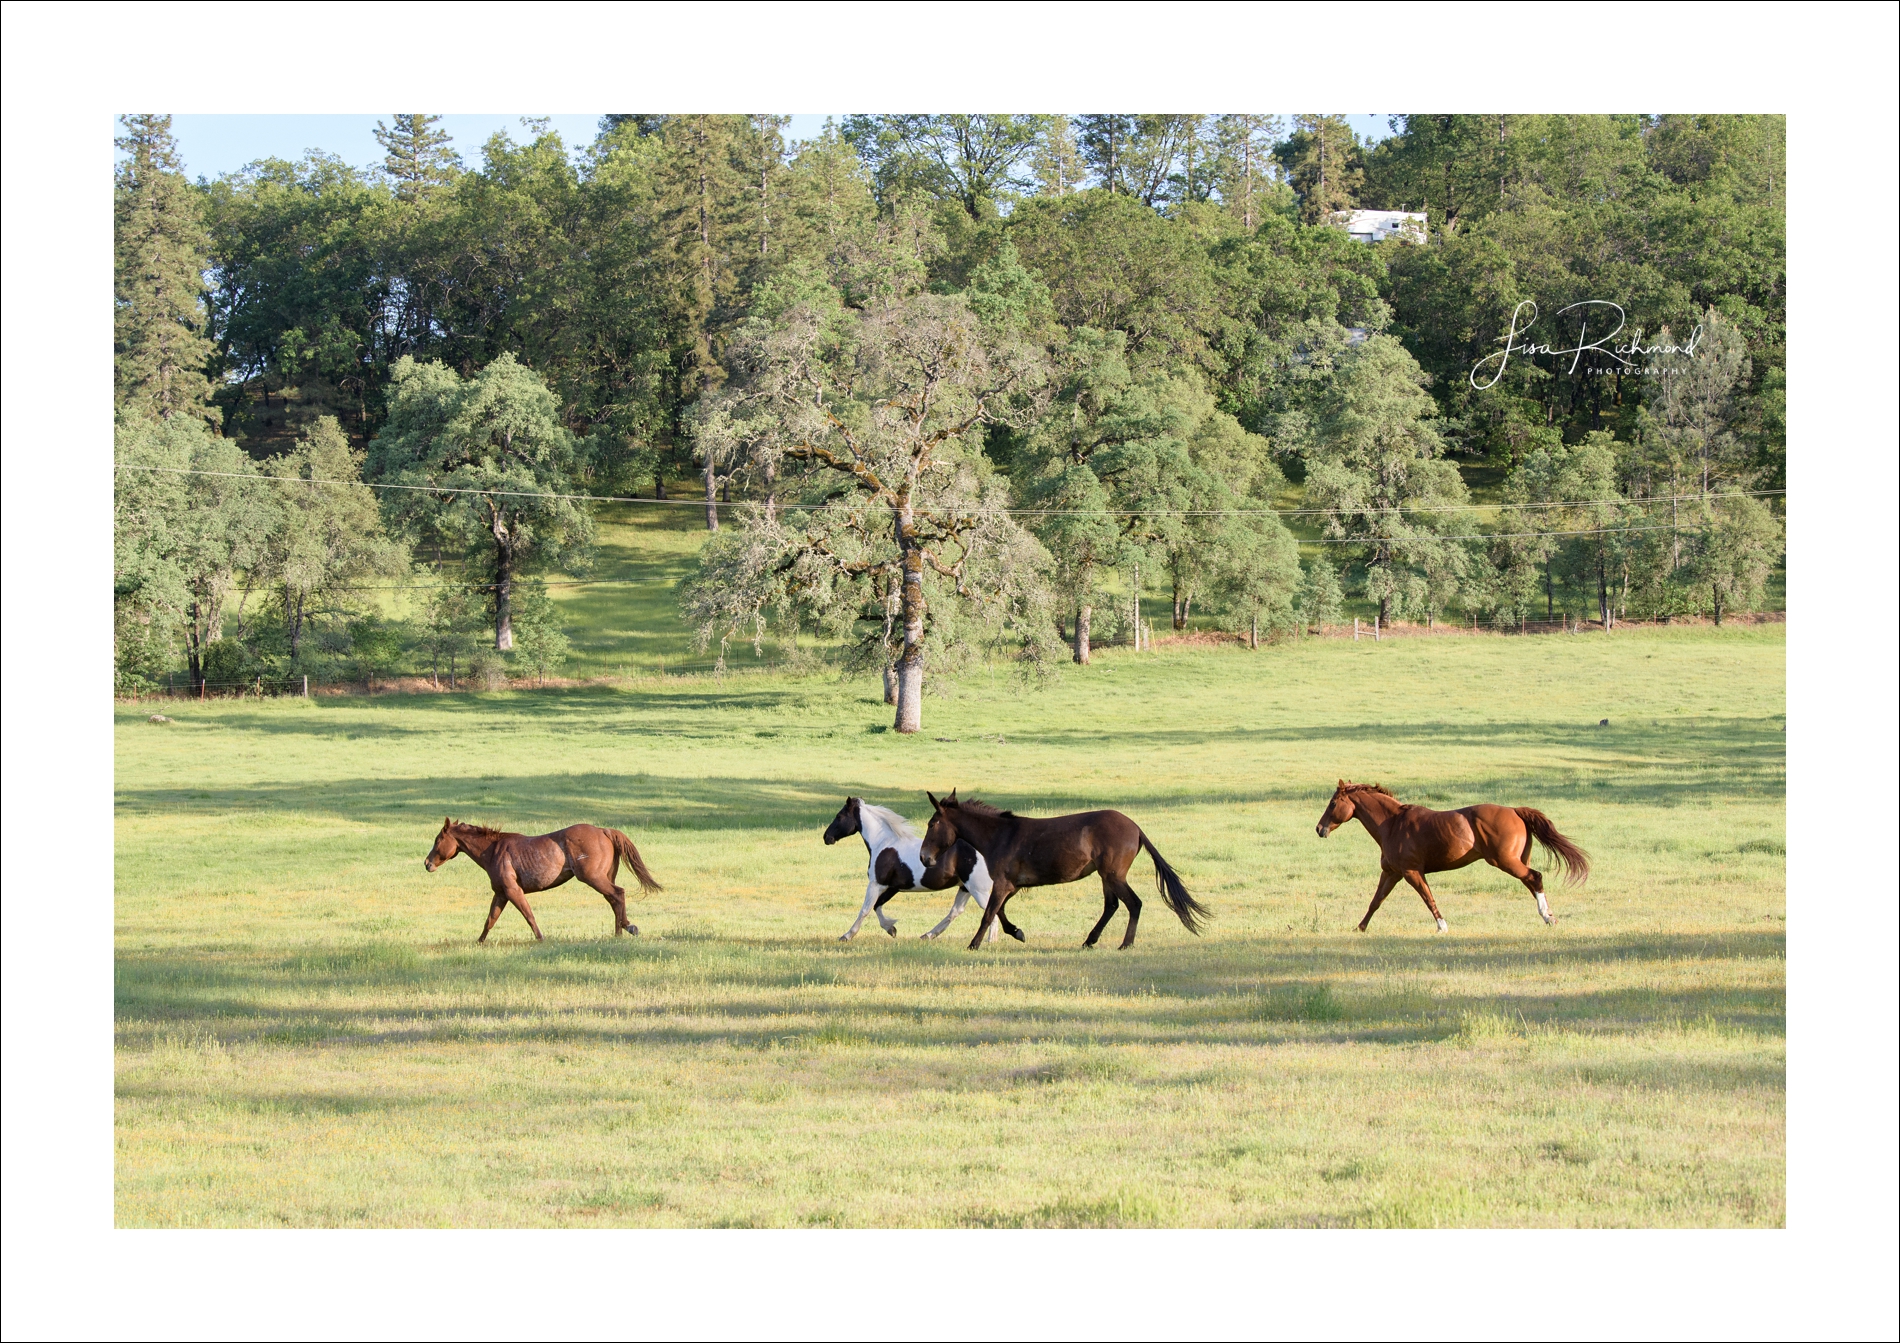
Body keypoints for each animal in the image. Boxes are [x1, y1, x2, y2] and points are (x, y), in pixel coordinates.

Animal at [427, 813, 665, 942]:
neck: (494, 850)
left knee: (618, 894)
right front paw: (479, 942)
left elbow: (528, 915)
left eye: (438, 840)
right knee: (614, 899)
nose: (427, 863)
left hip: (593, 878)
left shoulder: (513, 891)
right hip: (604, 877)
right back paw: (620, 931)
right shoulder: (501, 893)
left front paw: (541, 938)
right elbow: (490, 920)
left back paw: (626, 928)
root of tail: (602, 830)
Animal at [820, 797, 1026, 945]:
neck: (884, 843)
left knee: (991, 911)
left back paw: (992, 941)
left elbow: (865, 909)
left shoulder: (876, 883)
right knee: (956, 911)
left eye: (839, 816)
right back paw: (928, 935)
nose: (826, 837)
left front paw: (846, 936)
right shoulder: (893, 887)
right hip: (965, 887)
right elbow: (878, 905)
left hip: (978, 889)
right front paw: (891, 929)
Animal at [915, 794, 1208, 949]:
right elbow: (999, 911)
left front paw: (973, 945)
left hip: (1113, 875)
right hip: (1106, 876)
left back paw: (1125, 943)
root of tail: (1135, 828)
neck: (1000, 836)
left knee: (1133, 903)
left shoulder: (1003, 884)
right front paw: (1017, 932)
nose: (924, 857)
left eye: (932, 824)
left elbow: (988, 913)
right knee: (1112, 906)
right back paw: (1090, 941)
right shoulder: (1012, 886)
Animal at [1307, 778, 1588, 934]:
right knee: (1531, 882)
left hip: (1505, 861)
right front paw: (1360, 927)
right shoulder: (1392, 872)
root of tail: (1515, 810)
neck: (1393, 824)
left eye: (1333, 803)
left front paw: (1442, 926)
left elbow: (1427, 897)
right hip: (1516, 860)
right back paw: (1548, 915)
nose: (1319, 829)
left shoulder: (1411, 872)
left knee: (1535, 877)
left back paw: (1548, 917)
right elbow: (1376, 901)